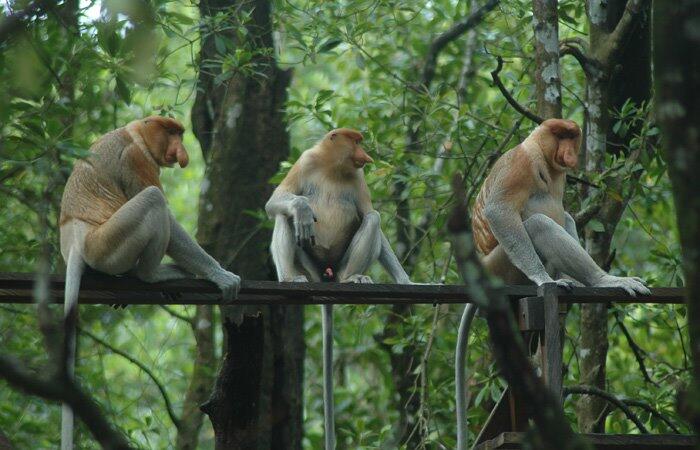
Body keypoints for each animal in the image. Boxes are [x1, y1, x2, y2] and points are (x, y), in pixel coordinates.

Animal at [56, 117, 241, 450]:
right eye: (172, 133)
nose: (182, 152)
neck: (136, 135)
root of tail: (76, 239)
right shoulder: (136, 159)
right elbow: (162, 206)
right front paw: (221, 275)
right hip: (108, 245)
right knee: (153, 199)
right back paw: (153, 274)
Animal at [266, 127, 412, 450]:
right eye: (355, 141)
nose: (365, 155)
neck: (332, 168)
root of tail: (327, 276)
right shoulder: (306, 161)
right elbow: (275, 202)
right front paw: (303, 209)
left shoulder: (358, 178)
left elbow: (370, 212)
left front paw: (407, 281)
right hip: (309, 267)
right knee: (283, 216)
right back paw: (290, 277)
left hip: (339, 265)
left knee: (372, 218)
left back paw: (353, 278)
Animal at [470, 118, 652, 298]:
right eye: (561, 136)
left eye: (571, 137)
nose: (569, 153)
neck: (541, 152)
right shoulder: (521, 161)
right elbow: (498, 211)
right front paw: (543, 278)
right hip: (499, 268)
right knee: (538, 224)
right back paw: (603, 280)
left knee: (566, 218)